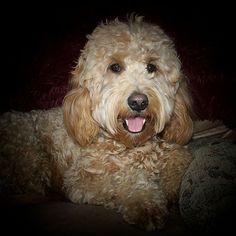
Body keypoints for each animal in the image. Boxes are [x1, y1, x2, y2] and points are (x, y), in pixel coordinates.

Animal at [0, 16, 194, 230]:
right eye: (115, 67)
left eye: (151, 67)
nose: (138, 102)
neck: (131, 145)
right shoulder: (82, 179)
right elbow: (124, 180)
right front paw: (146, 203)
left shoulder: (176, 152)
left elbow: (180, 162)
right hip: (32, 155)